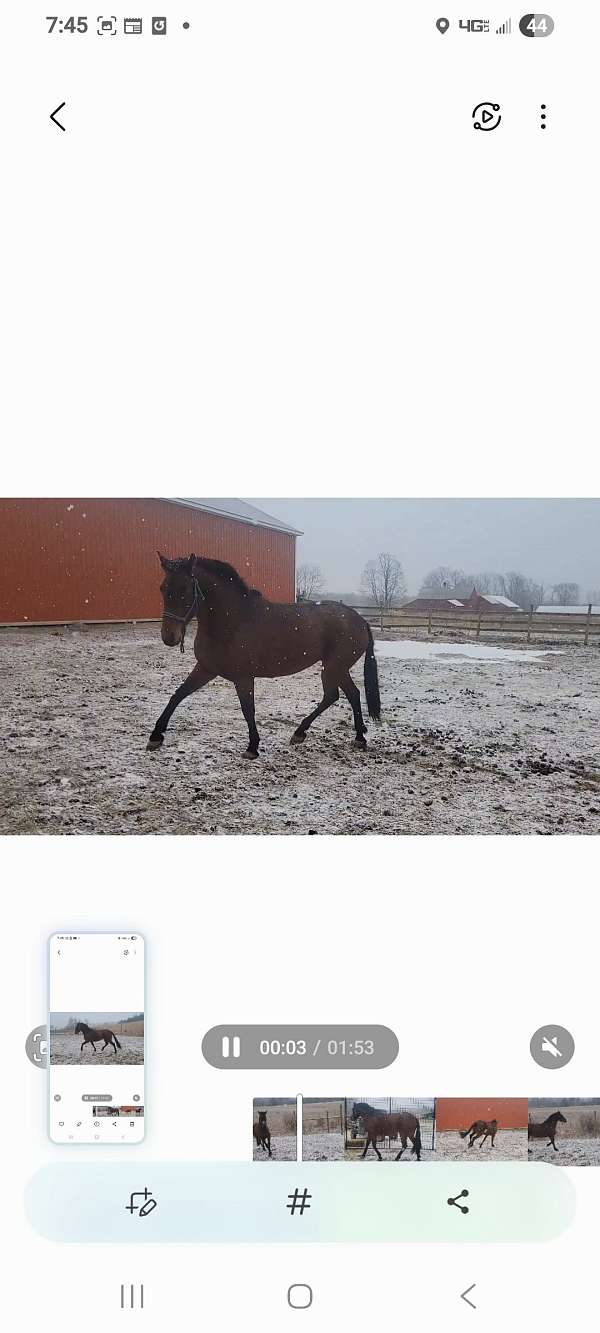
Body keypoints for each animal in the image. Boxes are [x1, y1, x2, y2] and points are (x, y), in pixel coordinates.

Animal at [147, 555, 381, 758]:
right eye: (163, 588)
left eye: (185, 589)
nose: (169, 636)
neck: (232, 620)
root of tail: (360, 619)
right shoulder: (205, 669)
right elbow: (178, 695)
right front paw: (156, 736)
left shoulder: (243, 678)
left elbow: (247, 710)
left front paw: (252, 747)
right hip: (333, 668)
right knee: (342, 695)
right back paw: (313, 733)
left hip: (335, 667)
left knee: (344, 695)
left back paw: (350, 737)